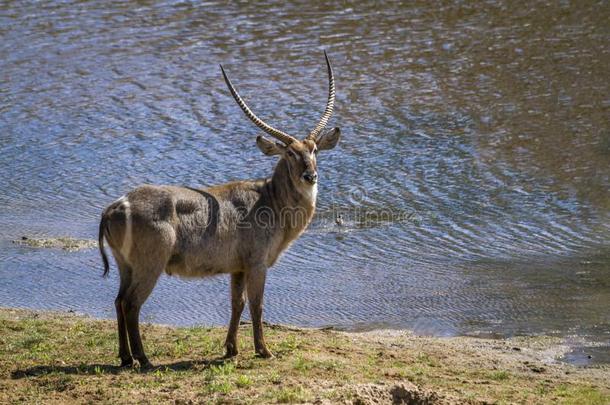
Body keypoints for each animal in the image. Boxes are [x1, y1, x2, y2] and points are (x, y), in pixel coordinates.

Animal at [97, 52, 340, 368]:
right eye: (289, 152)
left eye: (314, 150)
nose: (310, 176)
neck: (270, 198)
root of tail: (115, 206)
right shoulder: (256, 263)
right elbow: (257, 304)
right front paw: (264, 350)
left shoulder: (237, 267)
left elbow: (237, 303)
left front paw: (231, 348)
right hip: (150, 265)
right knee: (131, 303)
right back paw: (143, 359)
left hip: (125, 265)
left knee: (118, 301)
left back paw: (126, 358)